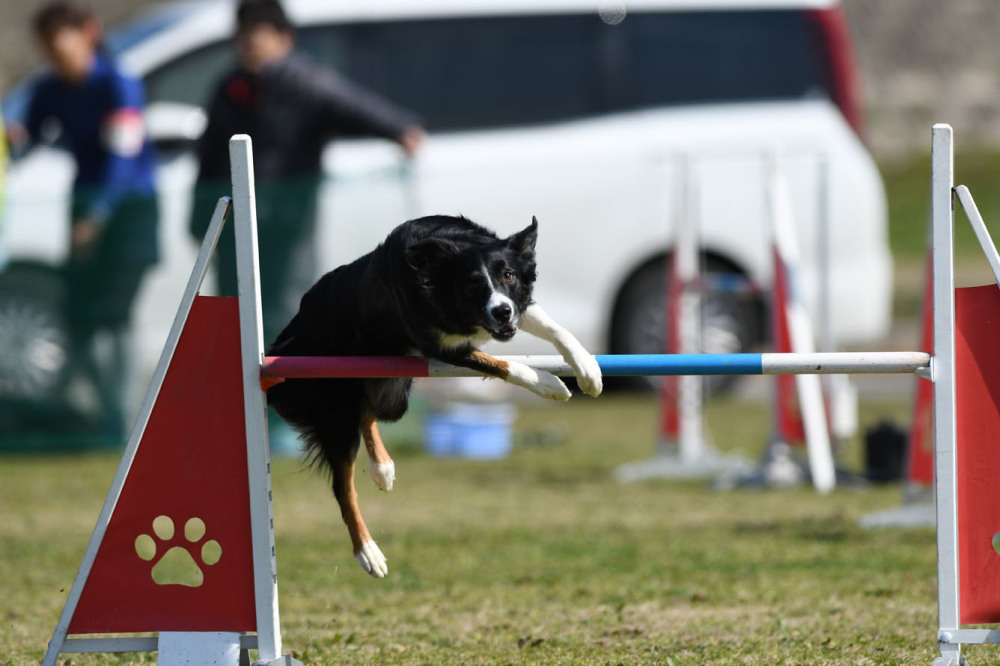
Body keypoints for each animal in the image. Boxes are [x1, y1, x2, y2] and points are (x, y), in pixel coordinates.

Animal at [262, 214, 600, 576]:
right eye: (471, 286)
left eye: (508, 275)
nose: (502, 313)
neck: (440, 270)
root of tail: (294, 330)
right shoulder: (443, 348)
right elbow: (504, 364)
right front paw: (550, 384)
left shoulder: (517, 304)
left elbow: (554, 328)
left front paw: (587, 368)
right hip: (338, 410)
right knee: (344, 487)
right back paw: (368, 552)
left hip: (393, 391)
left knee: (368, 411)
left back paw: (383, 468)